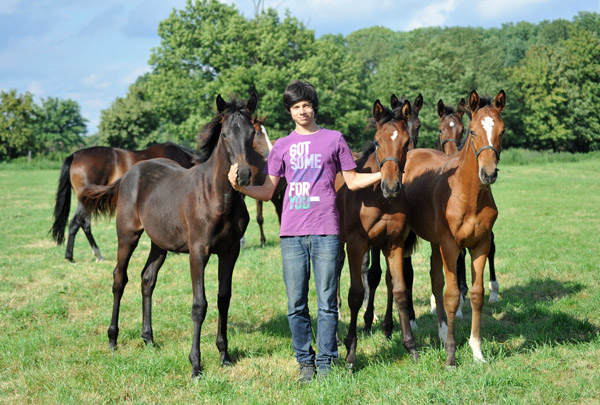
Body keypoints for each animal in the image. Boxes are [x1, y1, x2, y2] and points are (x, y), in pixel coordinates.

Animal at [50, 142, 198, 262]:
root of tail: (75, 155)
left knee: (84, 224)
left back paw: (97, 254)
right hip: (86, 201)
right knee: (75, 223)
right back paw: (70, 257)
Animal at [78, 94, 256, 378]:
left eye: (252, 133)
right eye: (226, 134)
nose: (244, 175)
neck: (218, 196)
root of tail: (128, 175)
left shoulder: (230, 251)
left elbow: (223, 299)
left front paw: (225, 356)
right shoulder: (198, 252)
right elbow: (199, 305)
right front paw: (195, 365)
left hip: (159, 244)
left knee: (147, 279)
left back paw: (148, 339)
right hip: (127, 235)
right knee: (119, 278)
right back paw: (113, 339)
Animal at [338, 96, 418, 364]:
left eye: (405, 141)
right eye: (377, 141)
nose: (391, 186)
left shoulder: (394, 243)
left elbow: (400, 289)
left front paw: (410, 346)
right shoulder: (356, 245)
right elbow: (355, 294)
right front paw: (351, 352)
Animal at [404, 90, 506, 364]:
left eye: (502, 131)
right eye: (473, 131)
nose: (489, 173)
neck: (467, 195)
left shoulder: (480, 244)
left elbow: (476, 294)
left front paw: (477, 350)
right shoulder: (451, 245)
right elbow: (451, 296)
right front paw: (451, 354)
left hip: (435, 241)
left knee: (435, 278)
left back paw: (440, 330)